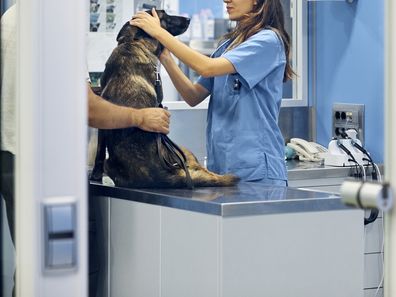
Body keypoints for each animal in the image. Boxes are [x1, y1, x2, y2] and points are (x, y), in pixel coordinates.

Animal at [91, 11, 238, 188]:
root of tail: (163, 176)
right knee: (204, 170)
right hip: (184, 151)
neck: (133, 42)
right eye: (165, 16)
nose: (188, 19)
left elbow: (99, 153)